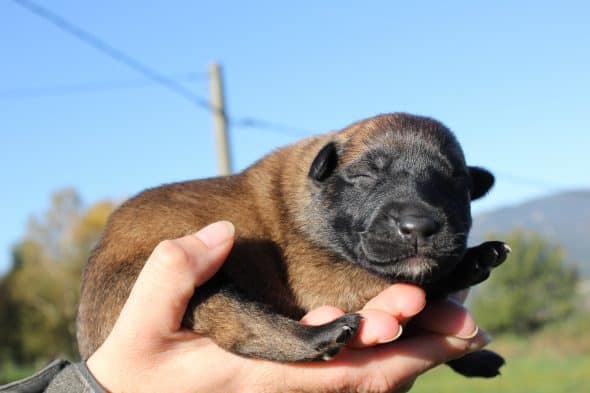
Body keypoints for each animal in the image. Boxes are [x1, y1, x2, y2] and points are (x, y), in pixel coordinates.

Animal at [78, 112, 512, 376]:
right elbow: (413, 282)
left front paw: (475, 358)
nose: (419, 225)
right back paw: (323, 336)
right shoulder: (322, 280)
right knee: (242, 325)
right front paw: (472, 260)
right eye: (365, 176)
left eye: (455, 181)